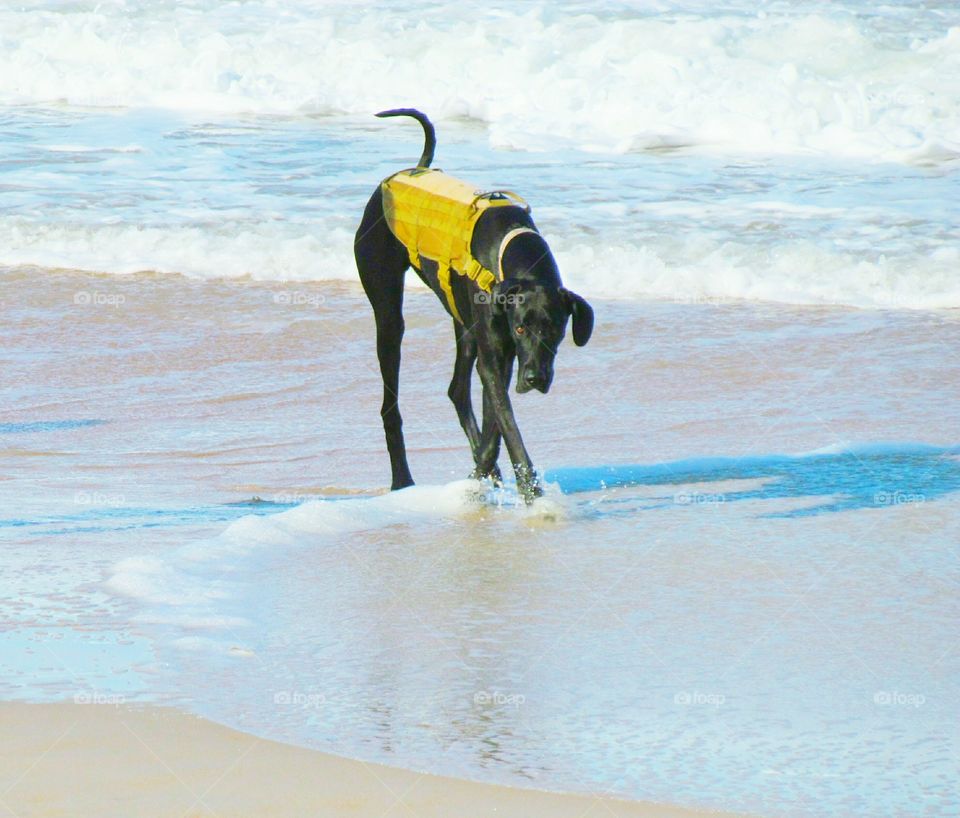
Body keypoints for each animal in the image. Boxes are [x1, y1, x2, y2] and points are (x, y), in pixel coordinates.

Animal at [354, 108, 592, 500]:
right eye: (521, 327)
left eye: (556, 329)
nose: (534, 378)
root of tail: (410, 170)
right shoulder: (497, 354)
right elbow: (507, 423)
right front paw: (529, 490)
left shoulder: (500, 354)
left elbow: (494, 422)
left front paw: (485, 470)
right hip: (388, 311)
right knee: (390, 403)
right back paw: (401, 479)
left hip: (463, 323)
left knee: (456, 389)